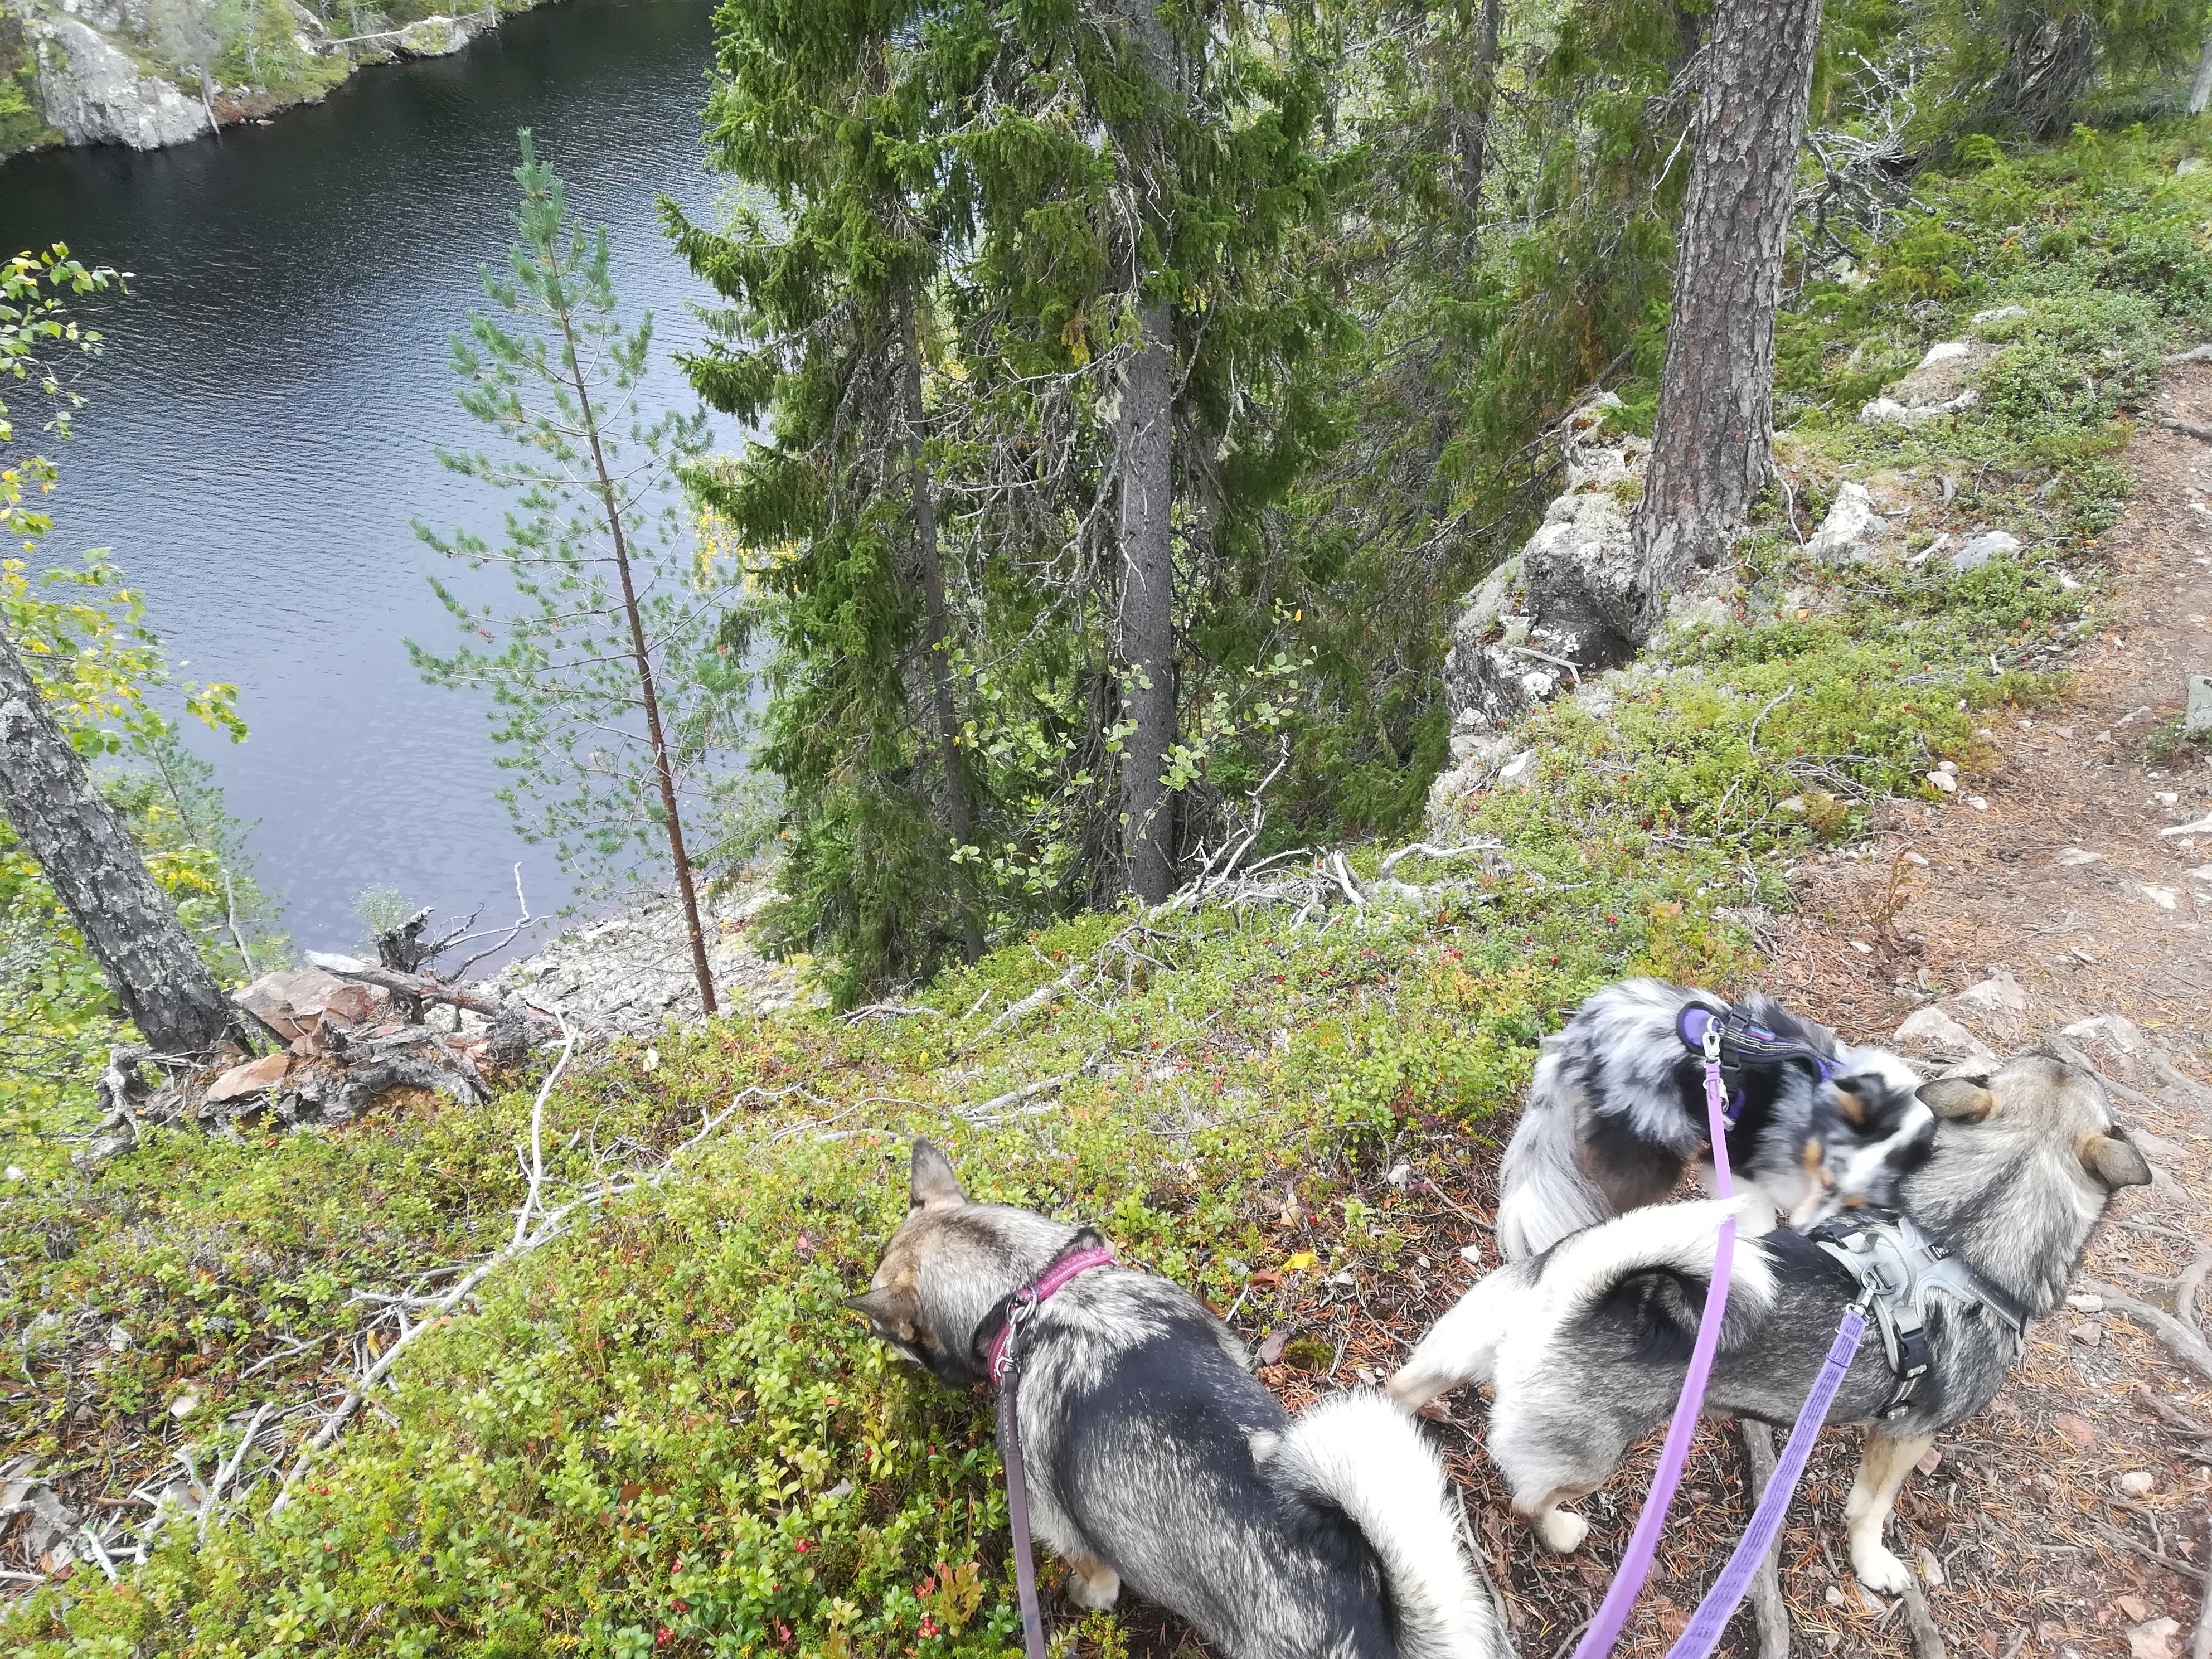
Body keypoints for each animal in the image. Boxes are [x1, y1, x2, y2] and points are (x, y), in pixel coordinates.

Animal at [850, 1141, 1510, 1659]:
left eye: (888, 1333)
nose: (880, 1350)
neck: (1038, 1291)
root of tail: (1372, 1613)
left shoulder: (1068, 1538)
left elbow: (1092, 1582)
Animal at [1393, 1055, 2151, 1593]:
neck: (1962, 1235)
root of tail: (1571, 1285)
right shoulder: (1905, 1435)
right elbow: (1869, 1511)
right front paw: (1874, 1566)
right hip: (1586, 1457)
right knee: (1528, 1499)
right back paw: (1558, 1533)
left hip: (1449, 1353)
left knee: (1402, 1390)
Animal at [1494, 979, 1925, 1259]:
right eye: (1827, 1178)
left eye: (1857, 1207)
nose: (1806, 1234)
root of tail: (1580, 1034)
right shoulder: (1733, 1166)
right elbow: (1759, 1221)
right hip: (1654, 1143)